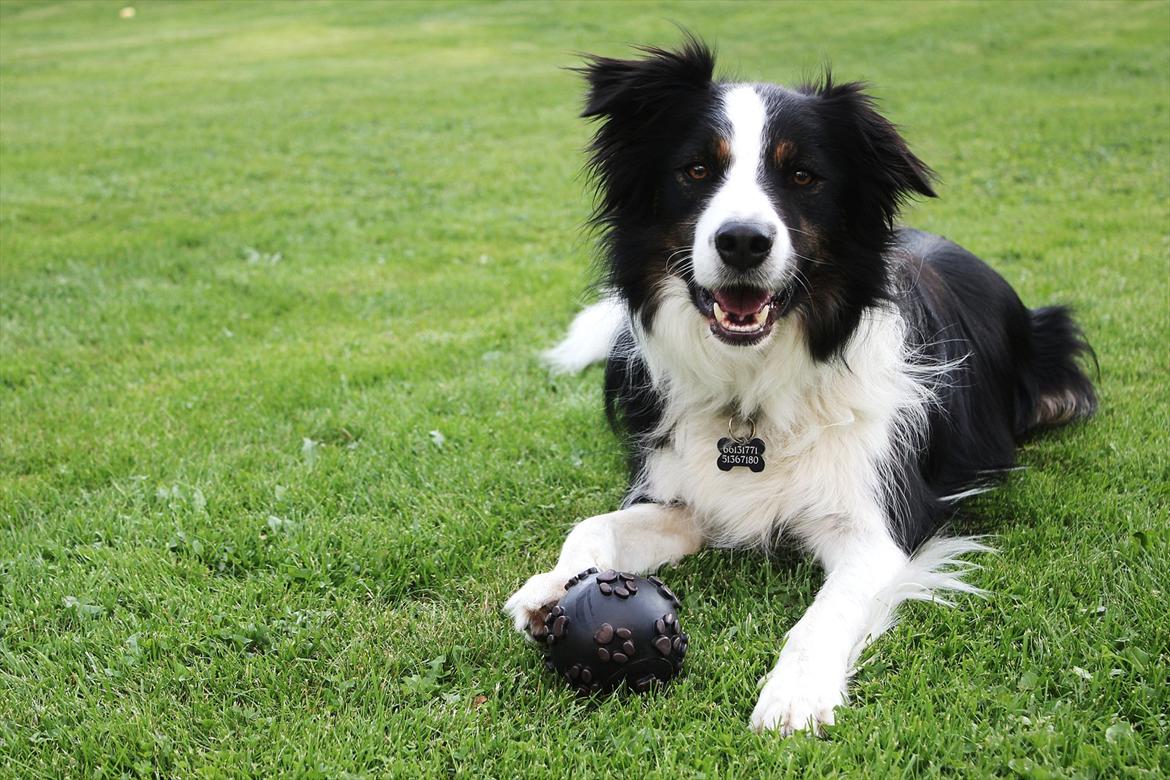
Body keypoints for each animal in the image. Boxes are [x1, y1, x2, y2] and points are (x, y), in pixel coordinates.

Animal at [503, 39, 1095, 734]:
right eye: (696, 170)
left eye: (804, 177)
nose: (742, 241)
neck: (755, 388)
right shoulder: (690, 498)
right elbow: (593, 525)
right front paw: (554, 585)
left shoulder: (877, 528)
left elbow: (826, 611)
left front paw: (795, 694)